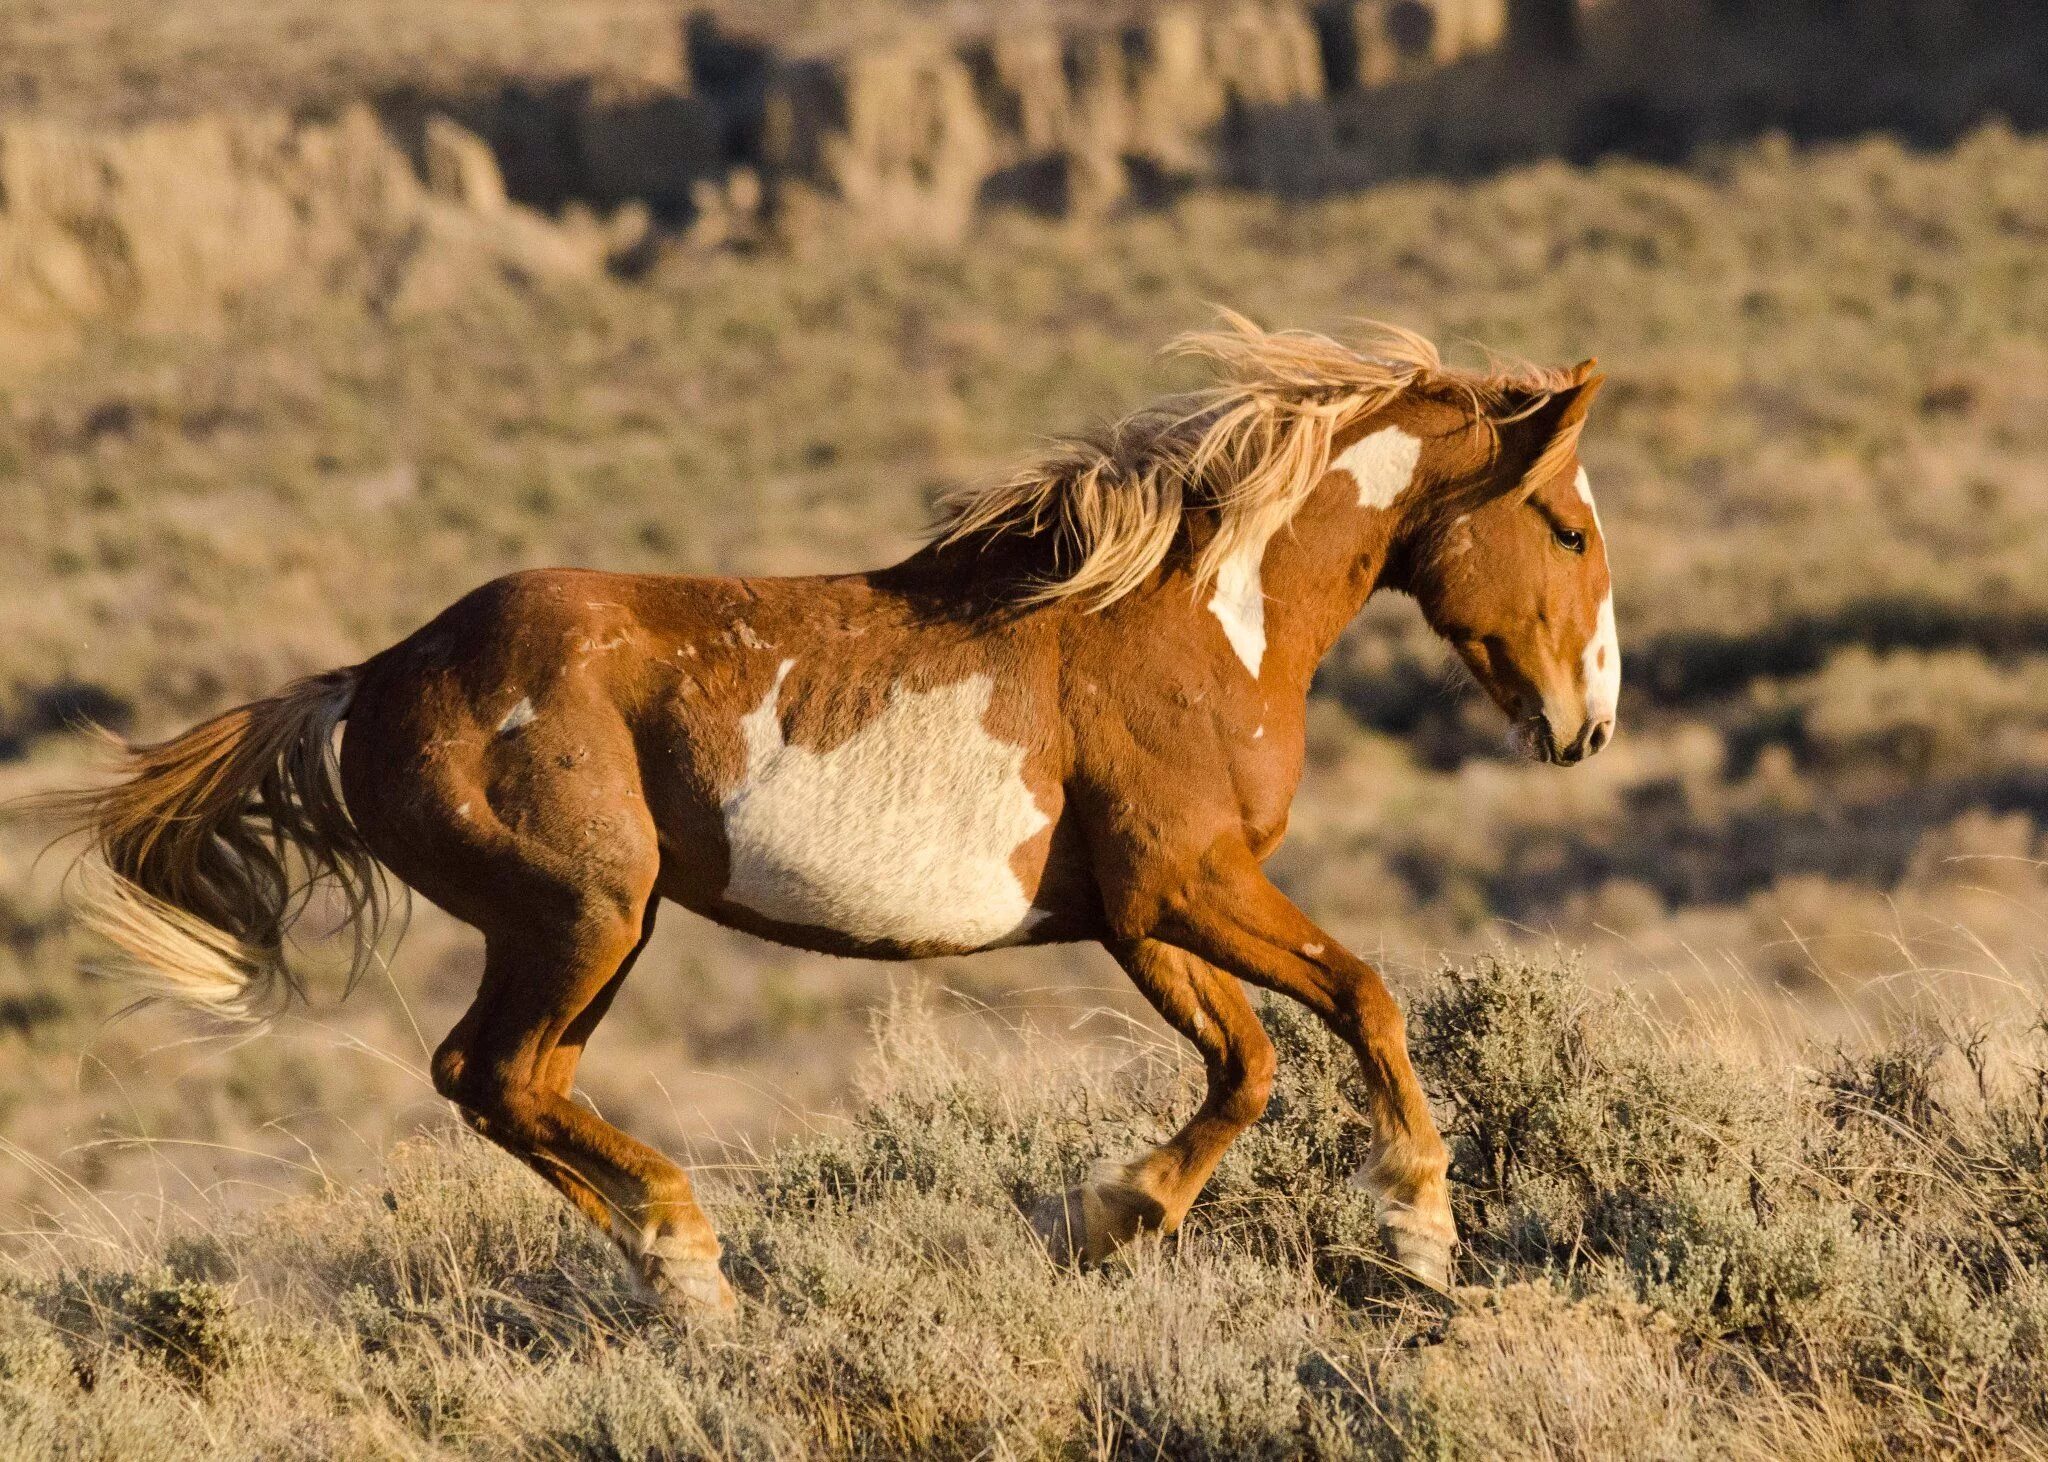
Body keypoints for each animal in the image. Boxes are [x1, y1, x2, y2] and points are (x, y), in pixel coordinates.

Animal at [36, 315, 1613, 1310]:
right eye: (1568, 526)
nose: (1585, 725)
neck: (1193, 619)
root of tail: (369, 681)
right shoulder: (1187, 883)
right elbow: (1361, 1000)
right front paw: (1420, 1235)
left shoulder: (1139, 912)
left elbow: (1247, 1065)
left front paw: (1109, 1220)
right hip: (581, 914)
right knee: (492, 1075)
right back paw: (688, 1256)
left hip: (591, 937)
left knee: (513, 1085)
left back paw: (674, 1277)